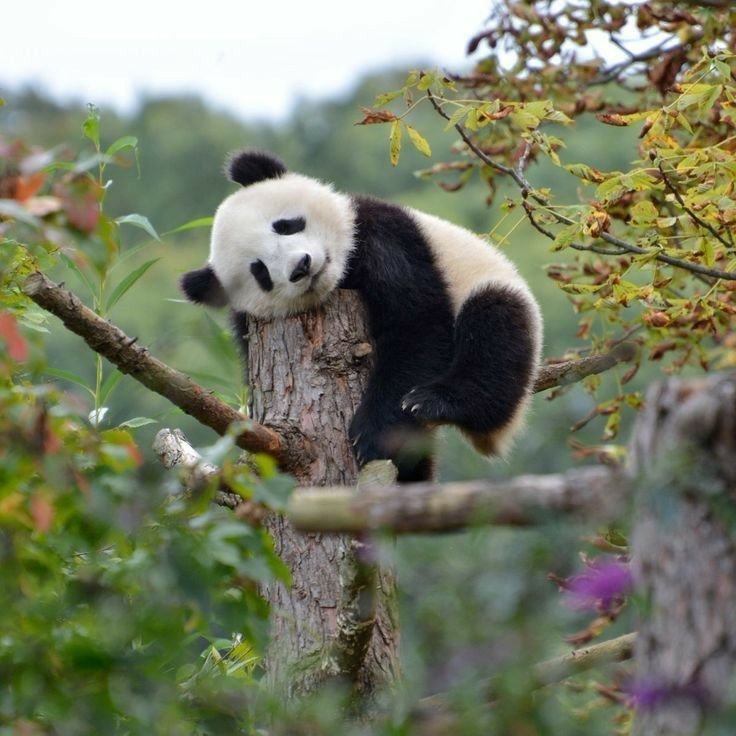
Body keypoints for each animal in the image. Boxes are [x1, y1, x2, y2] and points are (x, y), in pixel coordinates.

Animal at [181, 151, 543, 483]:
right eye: (260, 272)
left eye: (285, 226)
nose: (301, 267)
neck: (342, 275)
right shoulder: (246, 321)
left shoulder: (383, 235)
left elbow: (416, 325)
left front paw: (372, 434)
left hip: (489, 288)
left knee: (493, 335)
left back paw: (435, 402)